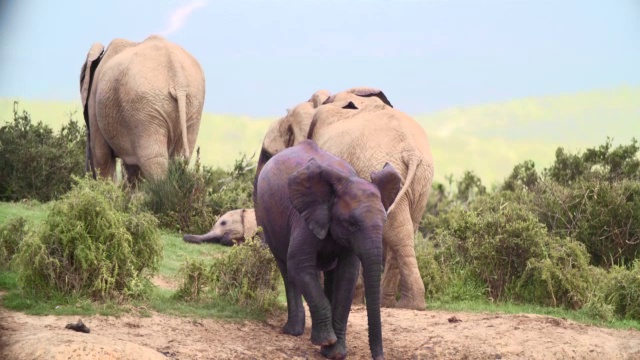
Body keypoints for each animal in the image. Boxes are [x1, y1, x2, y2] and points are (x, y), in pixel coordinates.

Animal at [79, 34, 206, 183]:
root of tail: (178, 77)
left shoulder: (95, 102)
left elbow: (101, 156)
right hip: (192, 103)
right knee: (178, 158)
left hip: (145, 109)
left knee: (153, 160)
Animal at [252, 139, 398, 360]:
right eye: (351, 224)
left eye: (384, 222)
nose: (380, 357)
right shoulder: (306, 217)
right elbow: (299, 266)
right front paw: (326, 341)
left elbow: (347, 275)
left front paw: (334, 352)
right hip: (264, 215)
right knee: (286, 267)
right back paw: (293, 331)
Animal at [255, 86, 436, 310]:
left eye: (266, 154)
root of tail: (410, 151)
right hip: (419, 181)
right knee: (405, 229)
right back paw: (398, 304)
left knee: (396, 229)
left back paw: (402, 304)